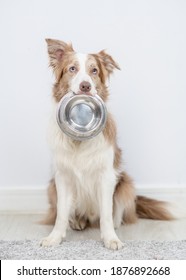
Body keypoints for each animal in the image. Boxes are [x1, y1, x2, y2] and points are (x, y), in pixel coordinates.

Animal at [40, 38, 173, 249]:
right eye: (72, 69)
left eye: (94, 71)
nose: (85, 86)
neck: (79, 141)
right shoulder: (62, 177)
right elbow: (61, 213)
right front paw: (54, 237)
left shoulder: (107, 176)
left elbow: (106, 214)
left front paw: (111, 238)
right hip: (51, 187)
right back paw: (77, 221)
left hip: (126, 183)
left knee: (115, 212)